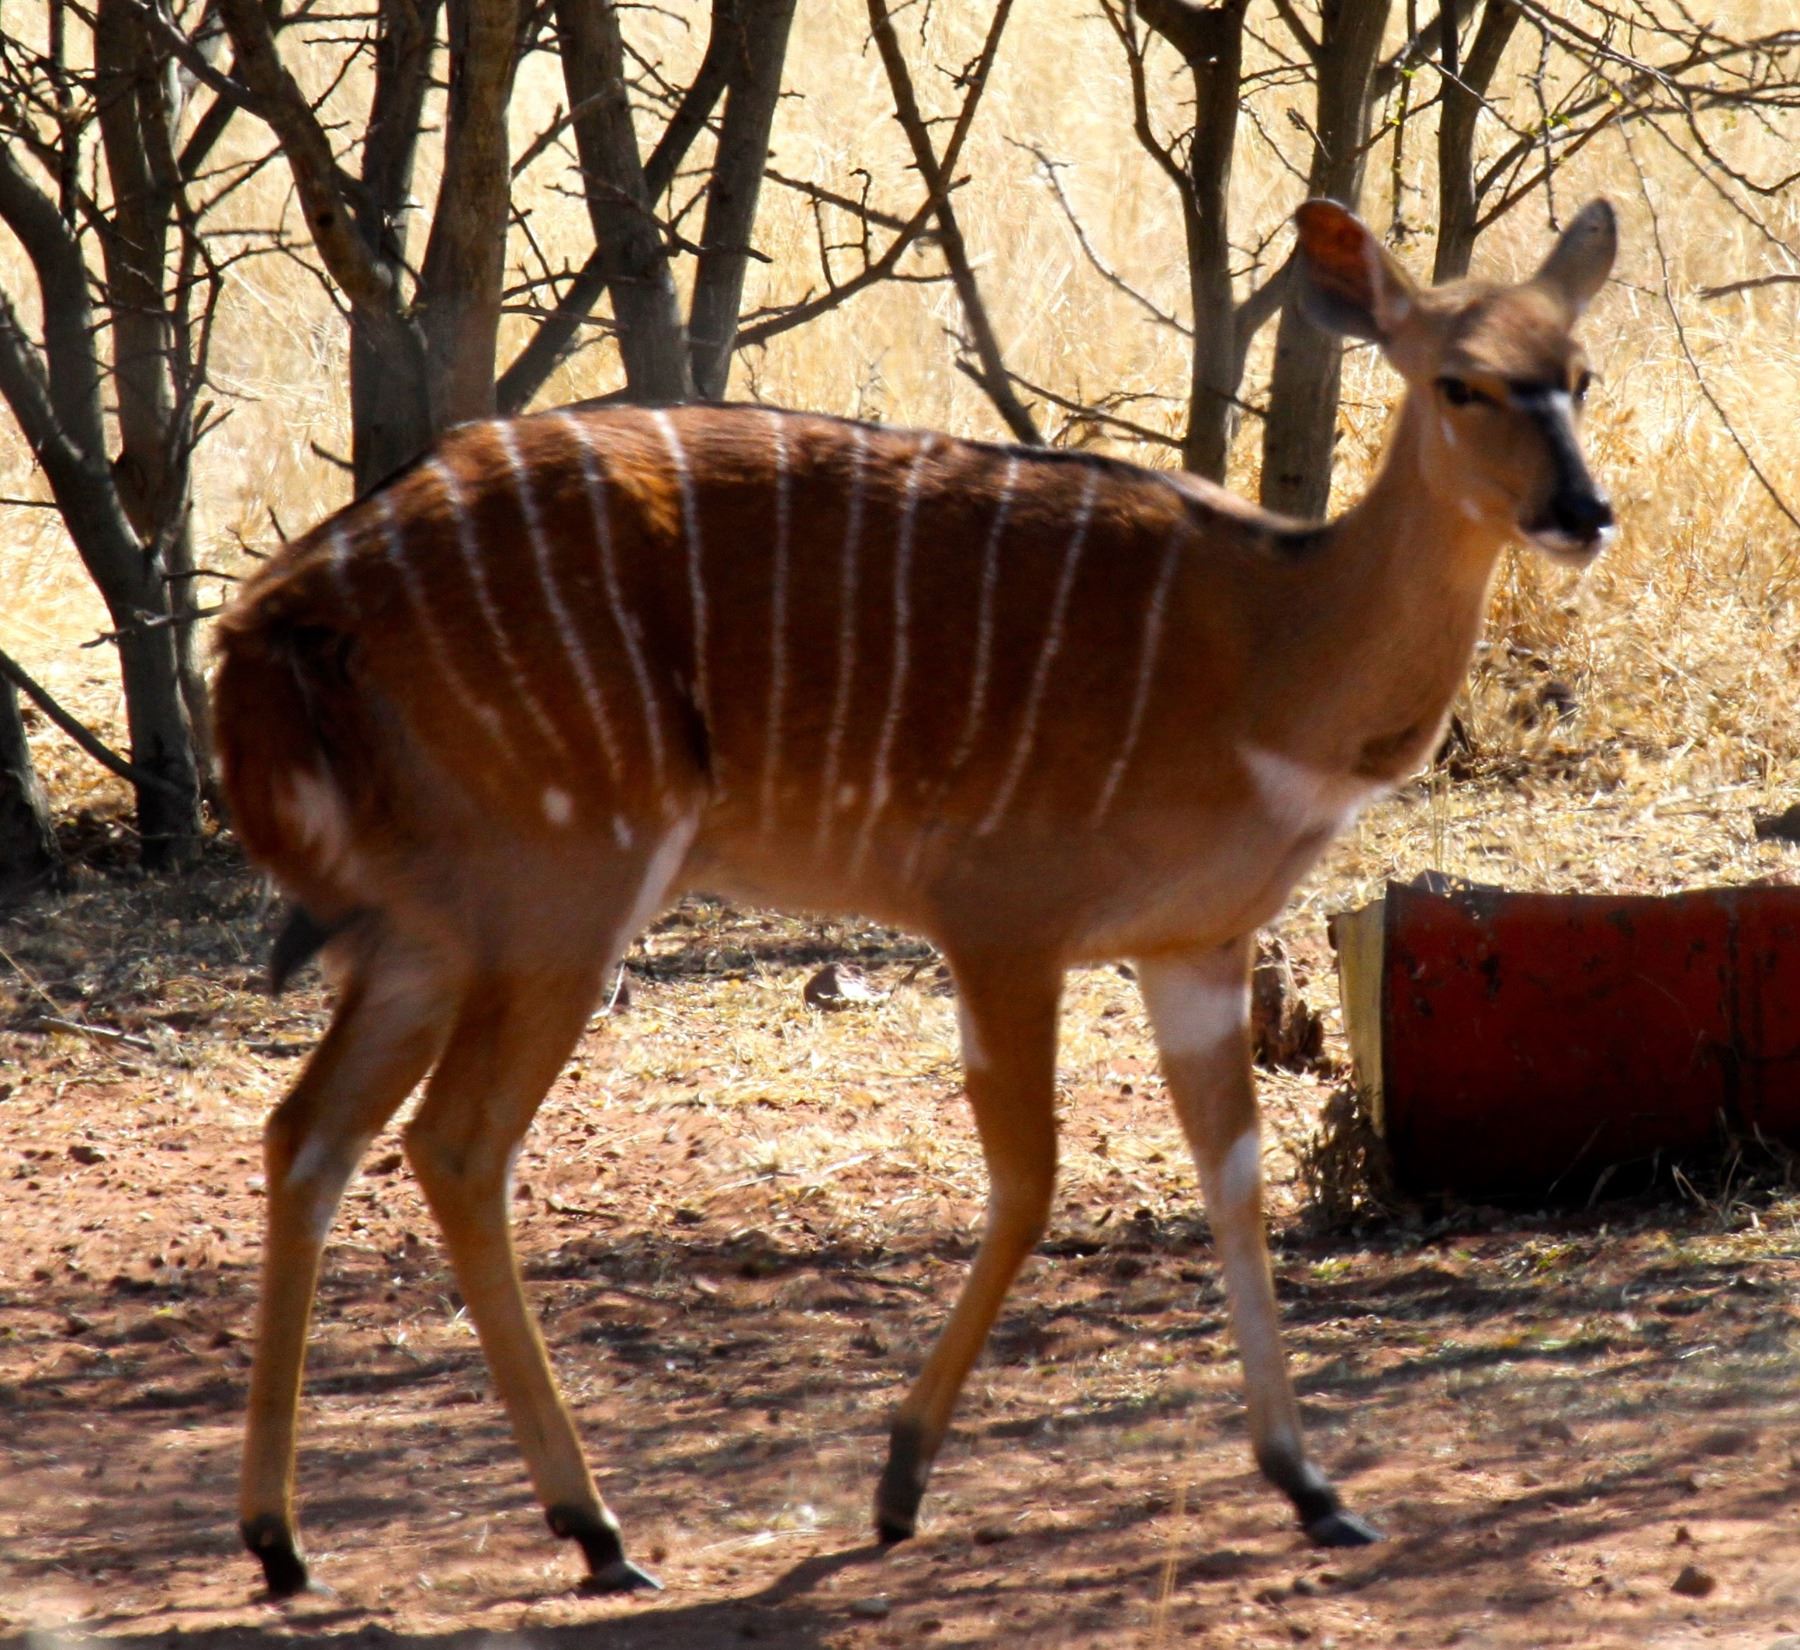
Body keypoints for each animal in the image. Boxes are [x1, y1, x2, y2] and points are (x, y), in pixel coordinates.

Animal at [214, 197, 1617, 1598]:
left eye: (1581, 374)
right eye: (1461, 381)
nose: (1584, 510)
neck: (1268, 650)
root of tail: (278, 613)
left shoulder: (1196, 946)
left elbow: (1234, 1175)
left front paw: (1314, 1488)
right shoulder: (1000, 919)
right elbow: (1032, 1179)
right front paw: (896, 1485)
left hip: (433, 932)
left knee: (308, 1134)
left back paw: (283, 1542)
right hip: (568, 889)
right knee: (453, 1145)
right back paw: (595, 1531)